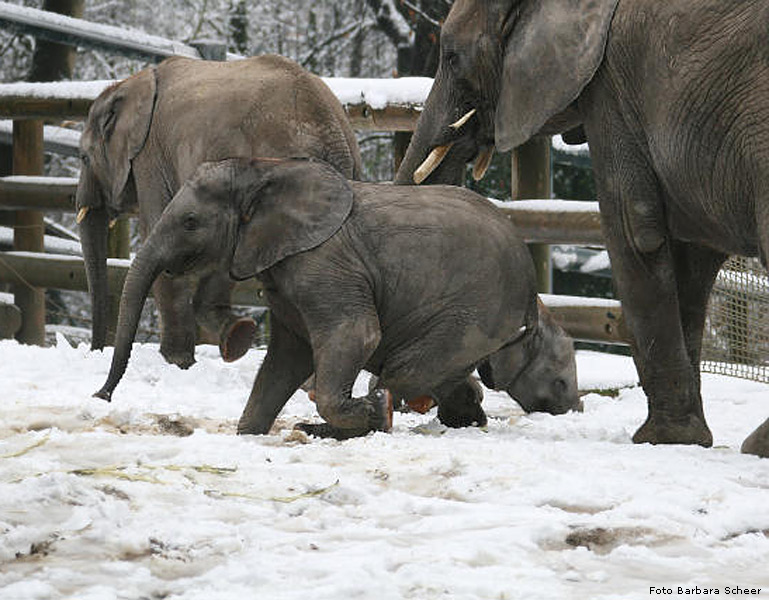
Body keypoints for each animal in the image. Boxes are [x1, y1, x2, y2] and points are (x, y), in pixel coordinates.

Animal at [75, 52, 360, 370]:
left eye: (83, 157)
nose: (96, 351)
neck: (130, 83)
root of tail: (330, 128)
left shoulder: (150, 158)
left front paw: (176, 362)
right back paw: (239, 336)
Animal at [93, 158, 580, 440]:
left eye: (191, 222)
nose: (101, 396)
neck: (264, 172)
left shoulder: (323, 262)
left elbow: (353, 335)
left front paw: (372, 412)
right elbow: (287, 356)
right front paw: (248, 433)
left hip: (472, 314)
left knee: (404, 372)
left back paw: (368, 416)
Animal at [392, 0, 768, 458]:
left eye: (451, 57)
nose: (466, 408)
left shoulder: (614, 87)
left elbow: (634, 231)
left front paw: (663, 439)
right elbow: (690, 257)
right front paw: (686, 440)